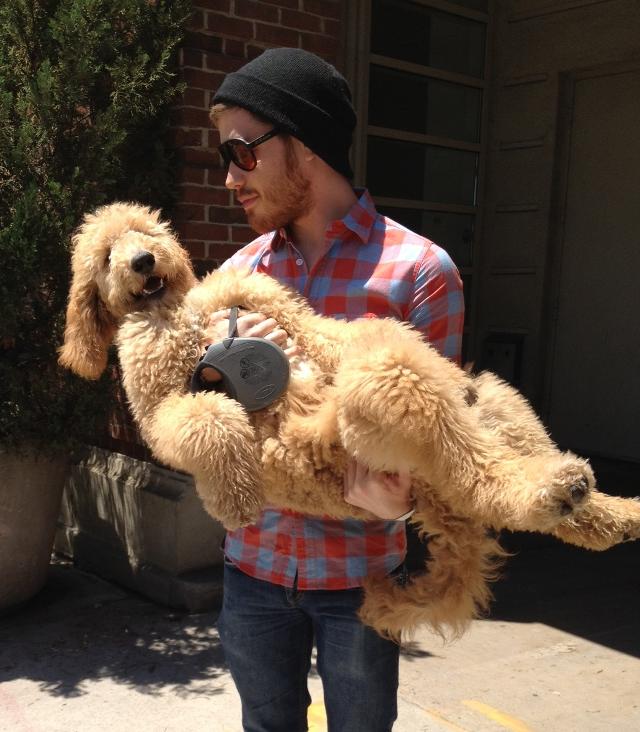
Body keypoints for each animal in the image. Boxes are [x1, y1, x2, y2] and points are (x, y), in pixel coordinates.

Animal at [60, 202, 640, 640]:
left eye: (148, 232)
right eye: (106, 255)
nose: (142, 260)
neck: (177, 310)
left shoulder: (269, 304)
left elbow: (319, 330)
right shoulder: (160, 403)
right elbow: (208, 416)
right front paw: (236, 498)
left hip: (484, 400)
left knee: (494, 457)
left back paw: (605, 504)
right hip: (393, 398)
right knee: (485, 478)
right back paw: (571, 496)